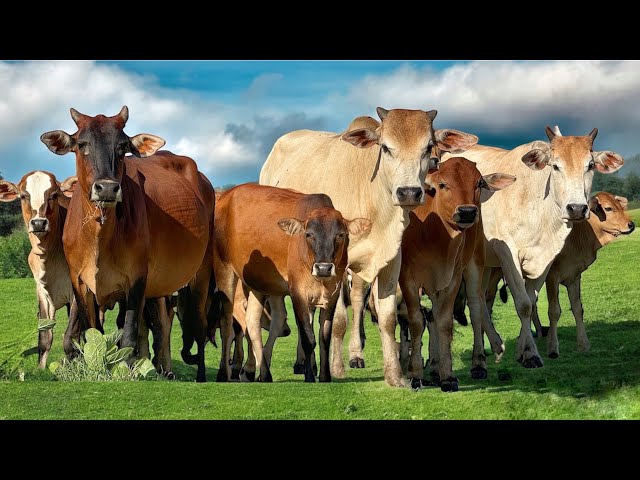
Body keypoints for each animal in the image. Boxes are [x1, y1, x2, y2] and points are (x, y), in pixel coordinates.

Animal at [0, 172, 79, 368]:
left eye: (54, 195)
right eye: (23, 196)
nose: (38, 223)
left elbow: (69, 337)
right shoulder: (42, 292)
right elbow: (45, 338)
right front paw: (40, 370)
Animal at [40, 107, 215, 380]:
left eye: (123, 146)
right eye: (81, 144)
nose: (107, 188)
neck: (100, 235)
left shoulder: (137, 279)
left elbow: (129, 336)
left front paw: (124, 370)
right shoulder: (79, 281)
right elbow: (92, 334)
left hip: (201, 274)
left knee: (198, 326)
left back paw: (198, 376)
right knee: (161, 325)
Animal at [214, 184, 370, 382]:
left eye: (341, 235)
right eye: (309, 234)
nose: (324, 268)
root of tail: (226, 196)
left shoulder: (332, 295)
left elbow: (324, 336)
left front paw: (325, 376)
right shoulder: (298, 293)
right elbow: (307, 337)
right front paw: (309, 376)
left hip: (258, 285)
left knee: (253, 322)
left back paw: (260, 373)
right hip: (224, 270)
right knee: (227, 322)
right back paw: (224, 373)